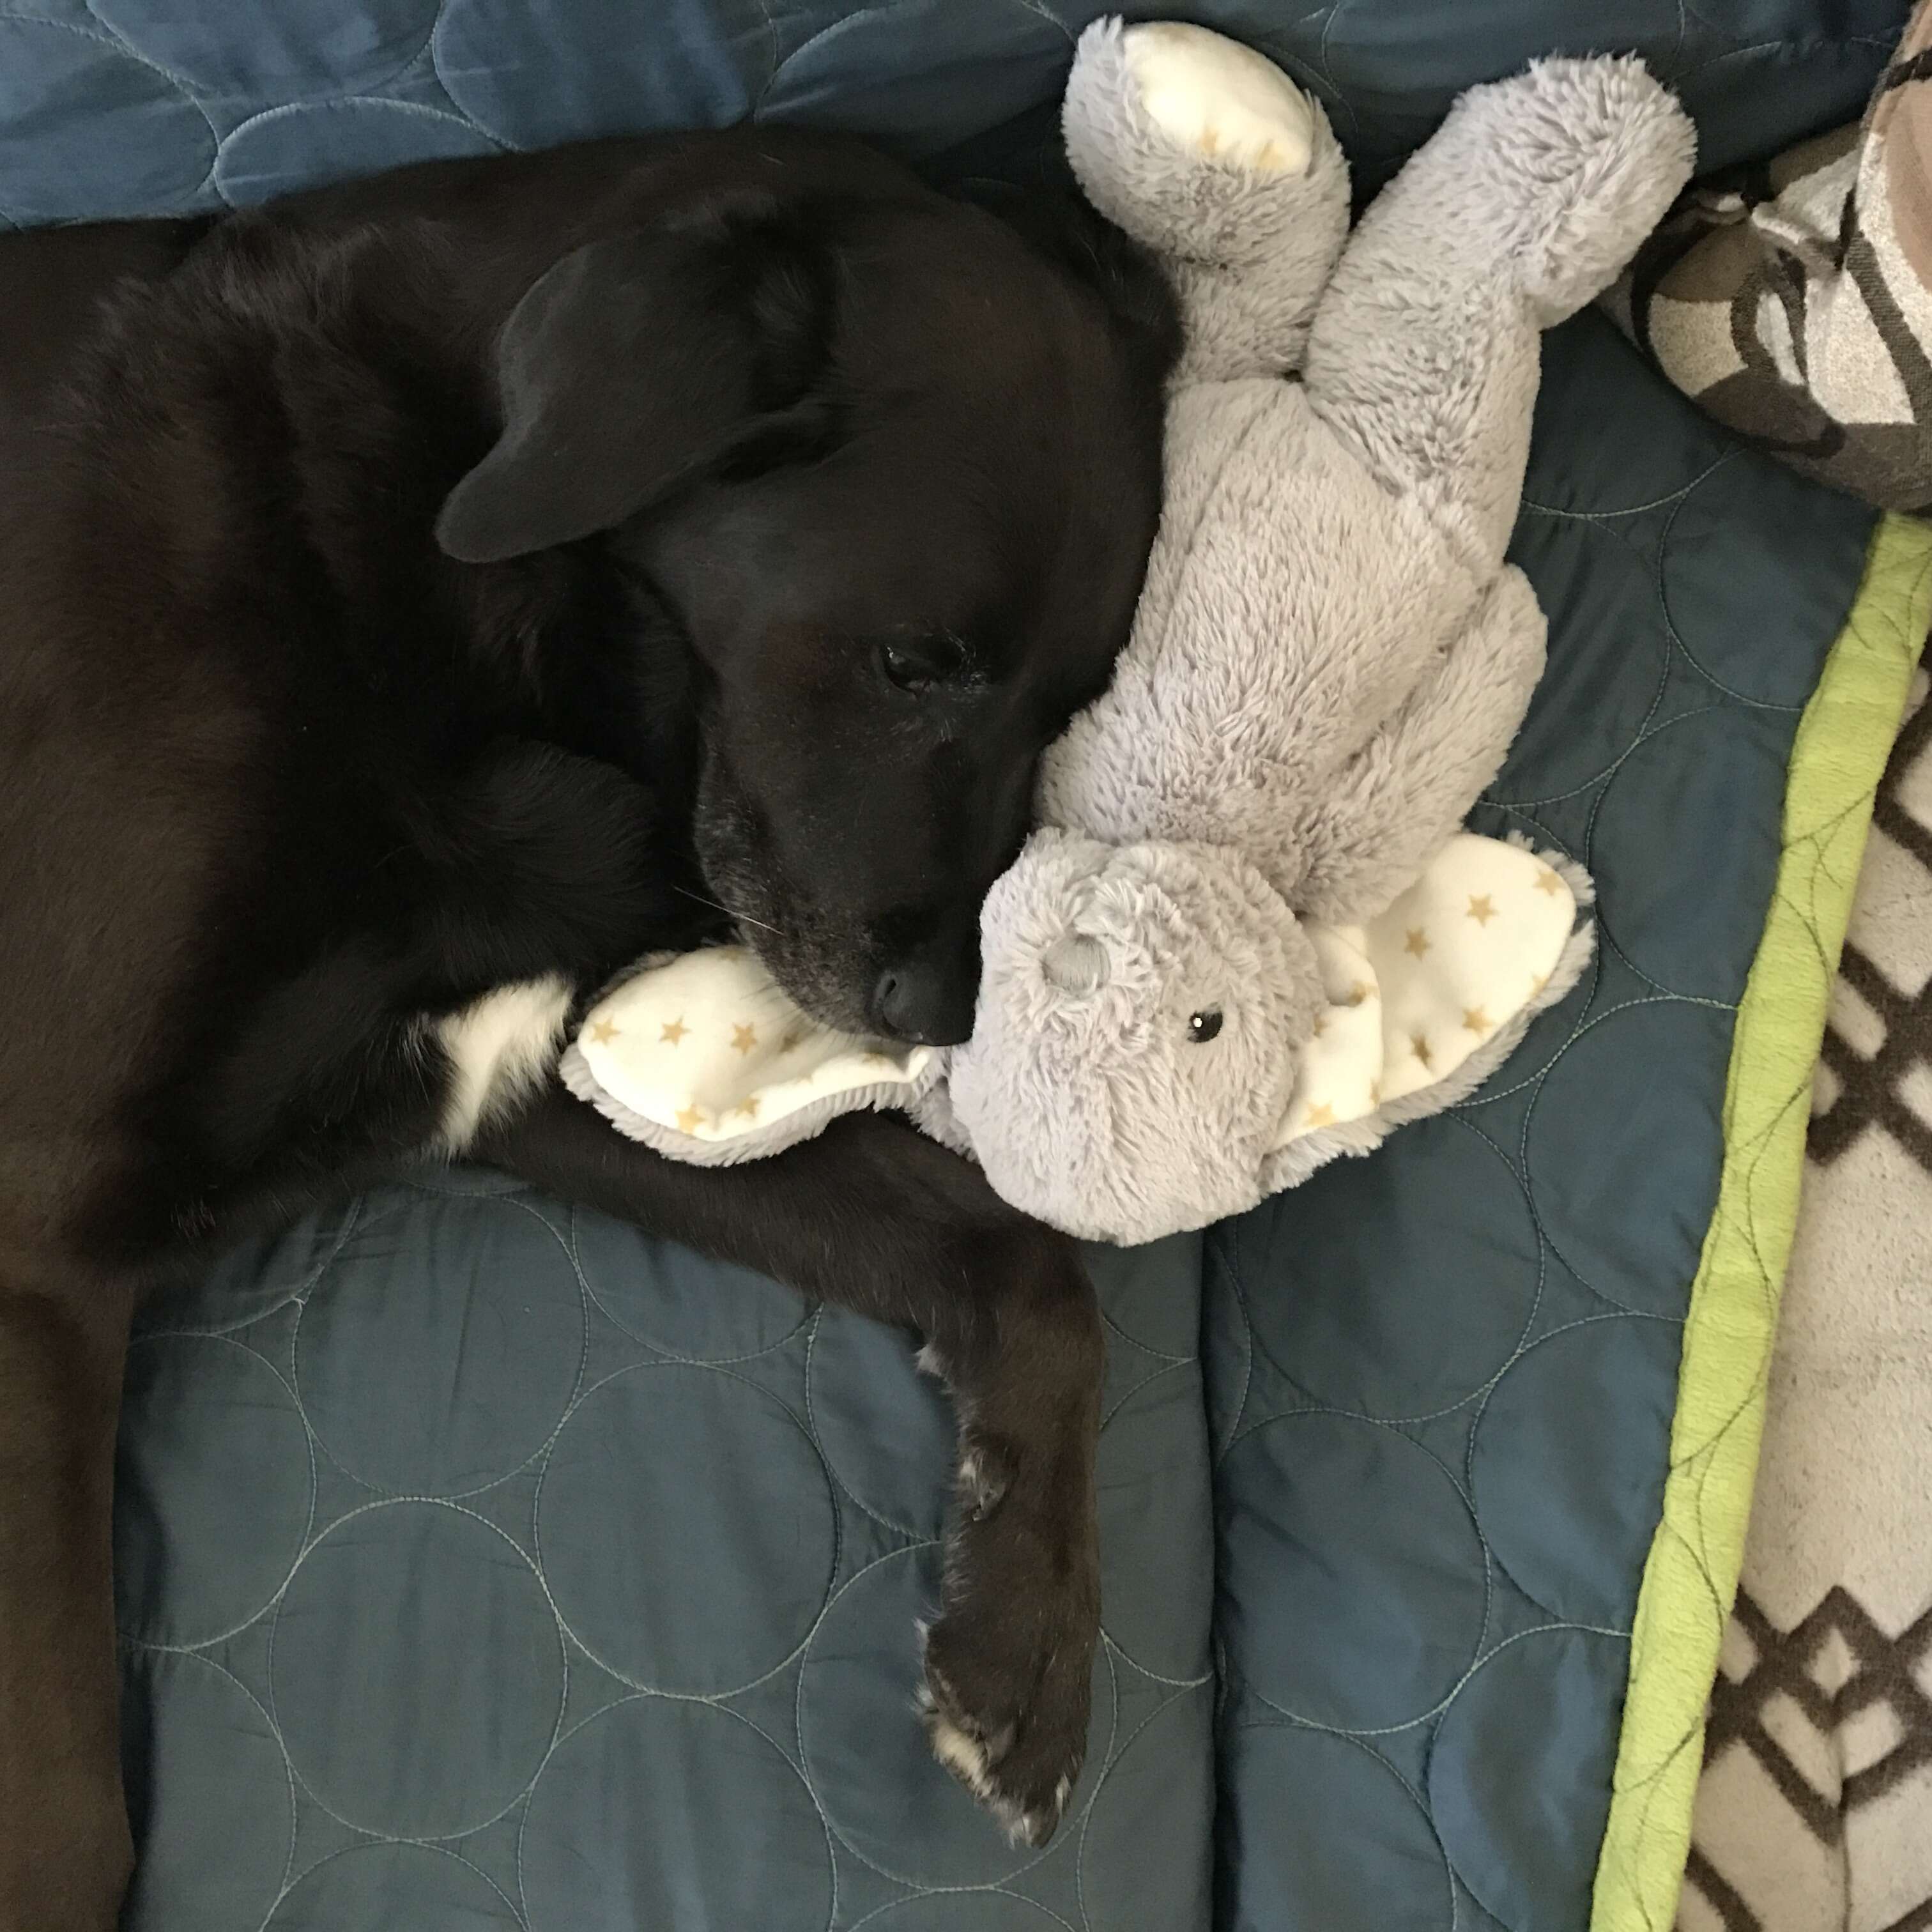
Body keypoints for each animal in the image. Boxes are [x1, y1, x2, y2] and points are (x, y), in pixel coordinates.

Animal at [0, 128, 1174, 1924]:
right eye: (917, 662)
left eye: (1073, 704)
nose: (945, 1019)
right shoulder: (34, 1241)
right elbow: (67, 1829)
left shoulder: (536, 1068)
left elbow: (1026, 1264)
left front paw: (1024, 1641)